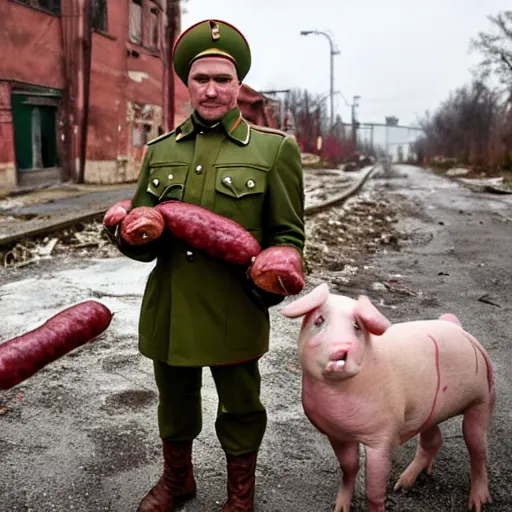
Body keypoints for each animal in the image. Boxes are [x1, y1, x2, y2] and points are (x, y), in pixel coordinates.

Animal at [280, 282, 496, 512]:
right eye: (319, 321)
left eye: (357, 327)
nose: (342, 348)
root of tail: (459, 329)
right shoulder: (336, 433)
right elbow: (349, 467)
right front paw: (339, 508)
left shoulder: (384, 435)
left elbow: (374, 490)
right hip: (427, 412)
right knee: (433, 439)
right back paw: (402, 485)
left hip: (484, 398)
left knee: (478, 449)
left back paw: (477, 504)